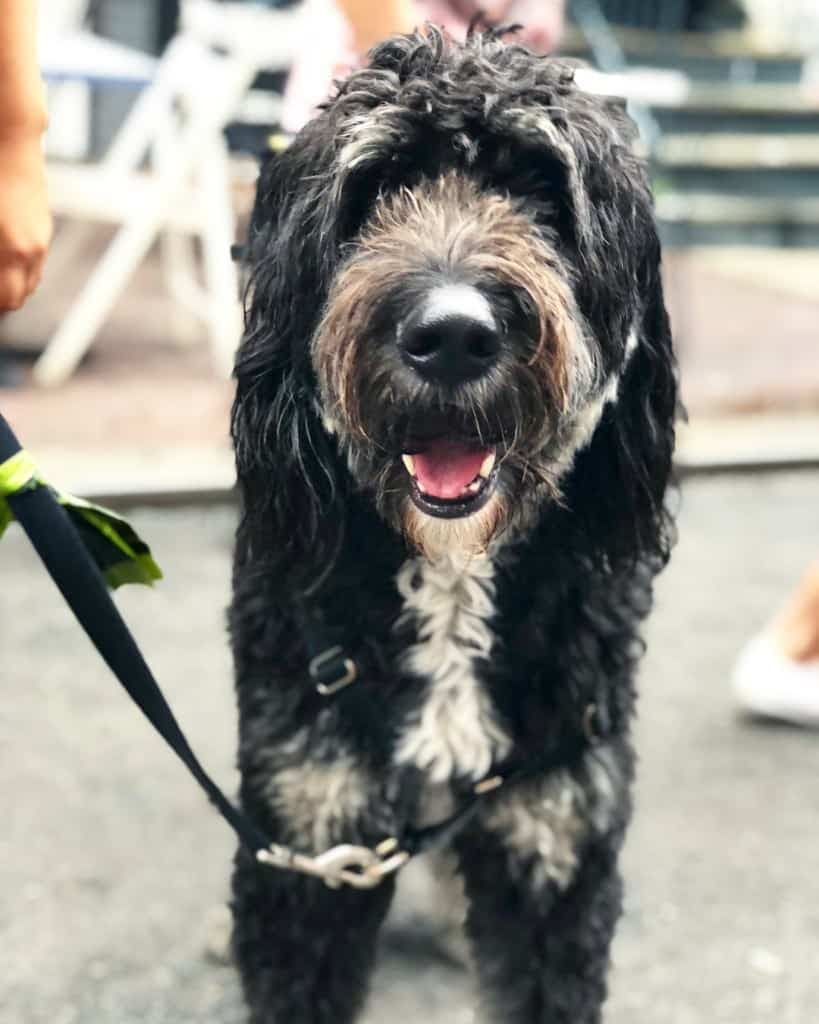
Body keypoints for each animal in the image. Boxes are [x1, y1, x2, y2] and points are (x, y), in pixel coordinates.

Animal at [227, 28, 675, 1024]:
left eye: (543, 191)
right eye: (371, 192)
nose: (452, 334)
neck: (451, 578)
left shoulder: (553, 838)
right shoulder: (313, 829)